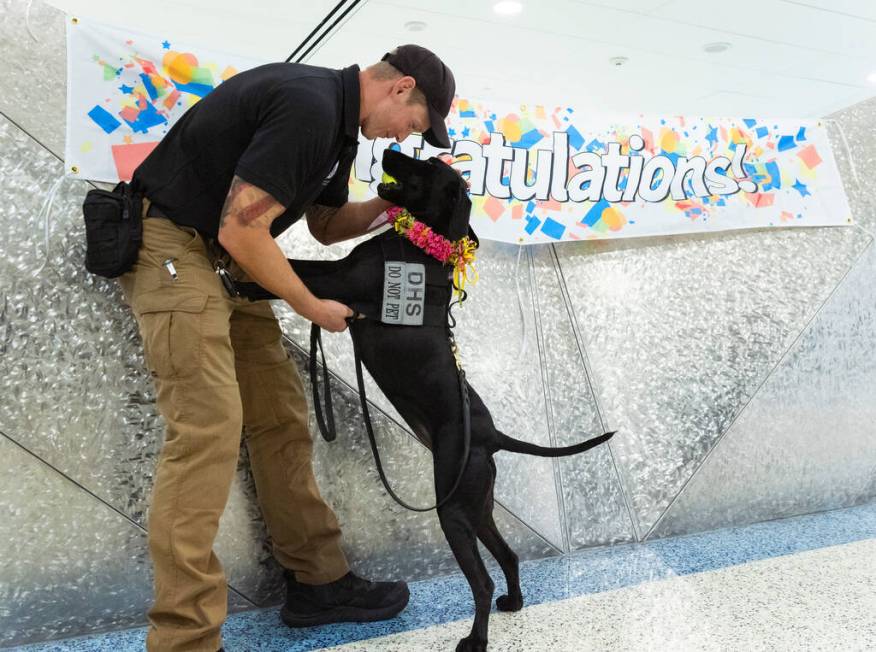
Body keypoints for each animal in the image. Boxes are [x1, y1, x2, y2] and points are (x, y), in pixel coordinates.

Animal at [278, 150, 608, 648]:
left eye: (428, 169)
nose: (389, 151)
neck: (424, 247)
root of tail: (492, 435)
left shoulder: (338, 280)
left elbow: (291, 268)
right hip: (478, 509)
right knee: (509, 556)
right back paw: (514, 603)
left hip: (453, 512)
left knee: (483, 581)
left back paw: (476, 639)